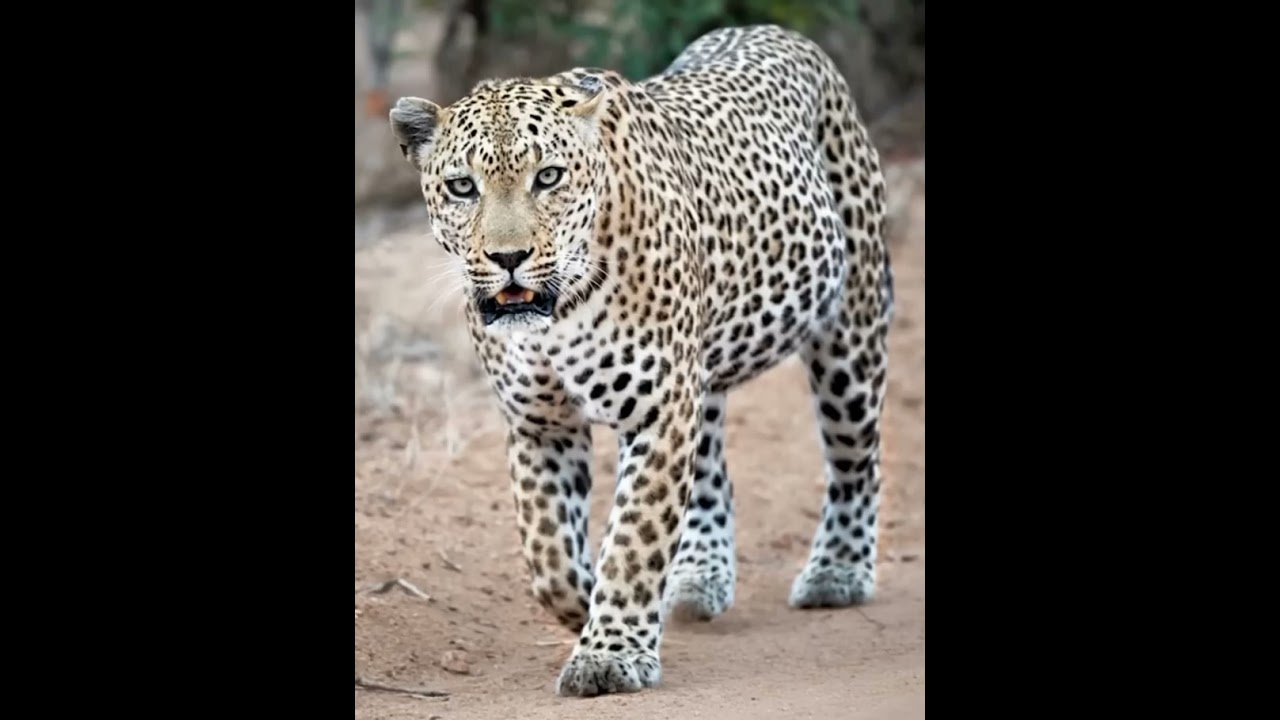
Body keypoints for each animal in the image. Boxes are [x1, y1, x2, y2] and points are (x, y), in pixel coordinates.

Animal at [389, 23, 893, 697]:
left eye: (548, 177)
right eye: (462, 187)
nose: (508, 258)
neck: (558, 315)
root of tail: (776, 31)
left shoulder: (656, 411)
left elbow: (634, 533)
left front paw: (610, 653)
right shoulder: (539, 424)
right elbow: (546, 553)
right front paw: (588, 604)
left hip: (849, 339)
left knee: (854, 460)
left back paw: (837, 573)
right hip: (700, 379)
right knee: (710, 475)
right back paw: (698, 579)